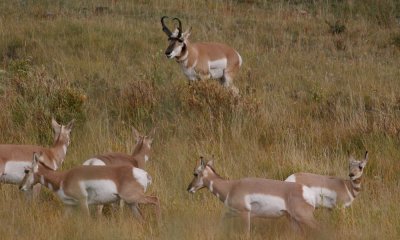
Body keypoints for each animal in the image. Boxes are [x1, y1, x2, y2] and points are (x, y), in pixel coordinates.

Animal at [18, 153, 159, 222]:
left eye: (26, 170)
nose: (20, 187)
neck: (63, 178)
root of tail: (144, 174)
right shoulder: (69, 206)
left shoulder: (83, 202)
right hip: (132, 203)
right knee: (141, 218)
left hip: (134, 199)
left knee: (155, 199)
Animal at [187, 157, 316, 235]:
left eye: (195, 173)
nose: (188, 189)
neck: (231, 187)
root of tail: (304, 190)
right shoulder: (231, 213)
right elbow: (221, 223)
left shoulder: (245, 214)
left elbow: (246, 234)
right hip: (292, 218)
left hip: (304, 217)